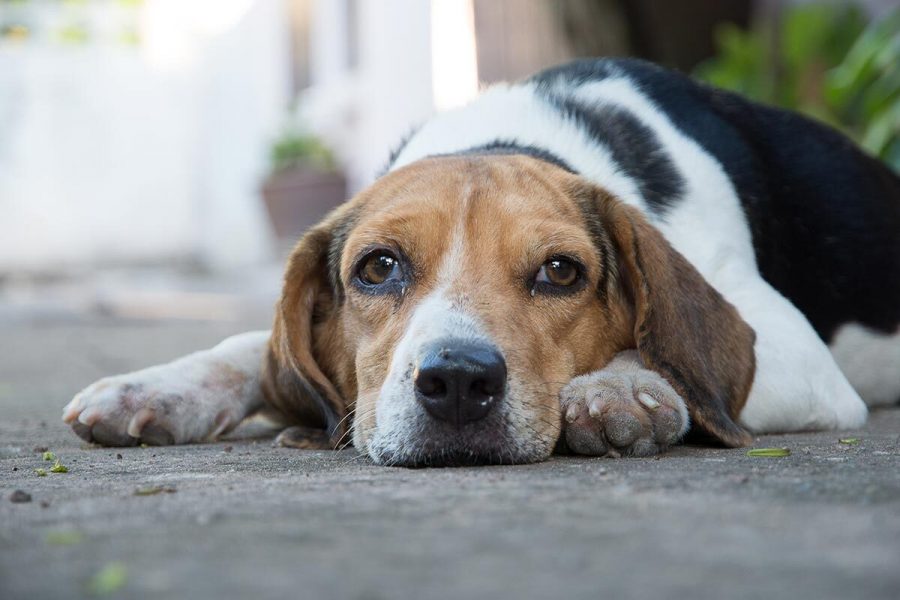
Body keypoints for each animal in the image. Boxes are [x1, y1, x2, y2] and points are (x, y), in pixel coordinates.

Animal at [63, 58, 900, 466]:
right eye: (377, 268)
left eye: (561, 272)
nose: (459, 383)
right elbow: (249, 347)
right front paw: (161, 387)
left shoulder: (803, 356)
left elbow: (667, 355)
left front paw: (624, 389)